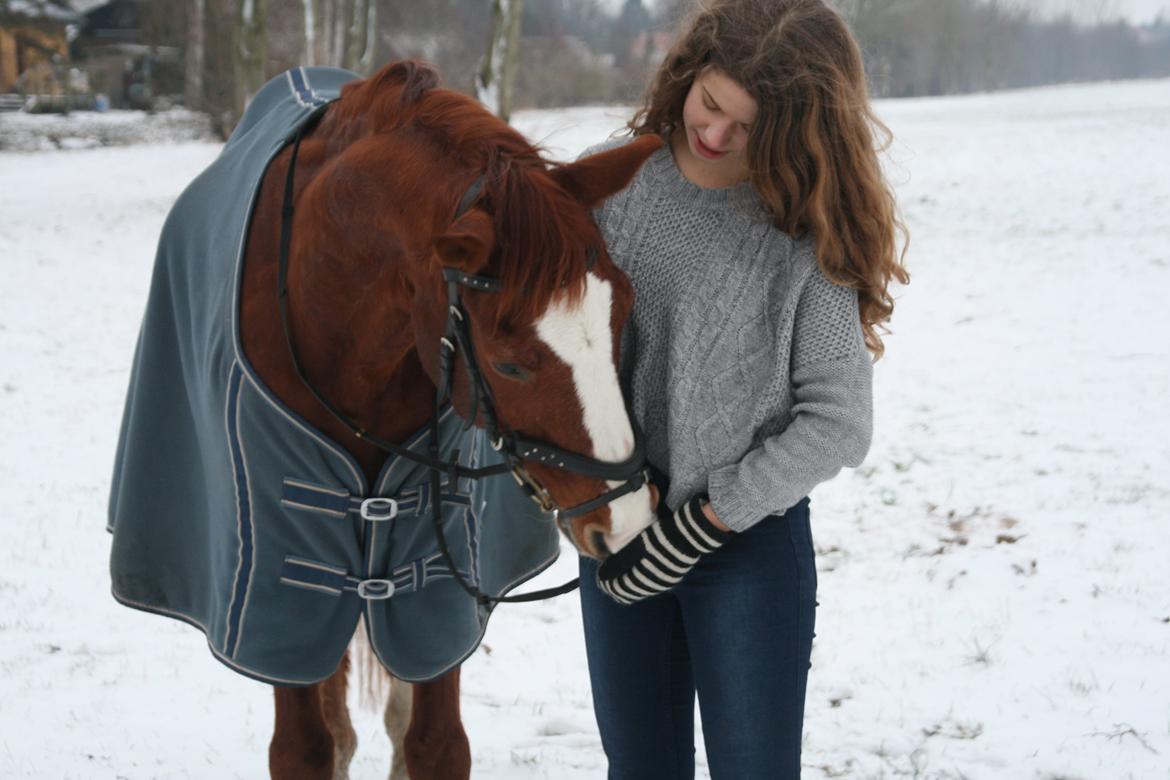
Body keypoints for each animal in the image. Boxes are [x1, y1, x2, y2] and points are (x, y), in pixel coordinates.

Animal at [237, 61, 659, 780]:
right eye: (510, 363)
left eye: (622, 310)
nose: (627, 517)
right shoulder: (286, 590)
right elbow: (305, 747)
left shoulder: (435, 580)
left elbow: (435, 743)